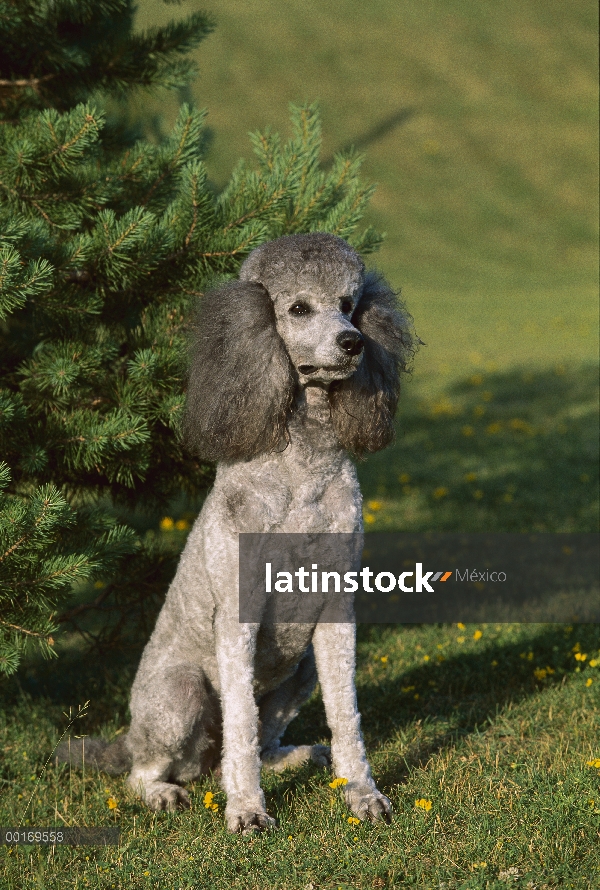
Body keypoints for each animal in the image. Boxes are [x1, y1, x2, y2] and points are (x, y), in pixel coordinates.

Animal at [61, 232, 414, 828]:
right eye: (298, 308)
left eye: (349, 304)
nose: (352, 343)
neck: (301, 468)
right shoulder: (239, 615)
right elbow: (242, 726)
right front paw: (247, 810)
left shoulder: (336, 612)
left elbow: (346, 715)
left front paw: (362, 793)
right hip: (178, 695)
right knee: (148, 770)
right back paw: (165, 791)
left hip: (300, 672)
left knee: (259, 742)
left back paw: (298, 757)